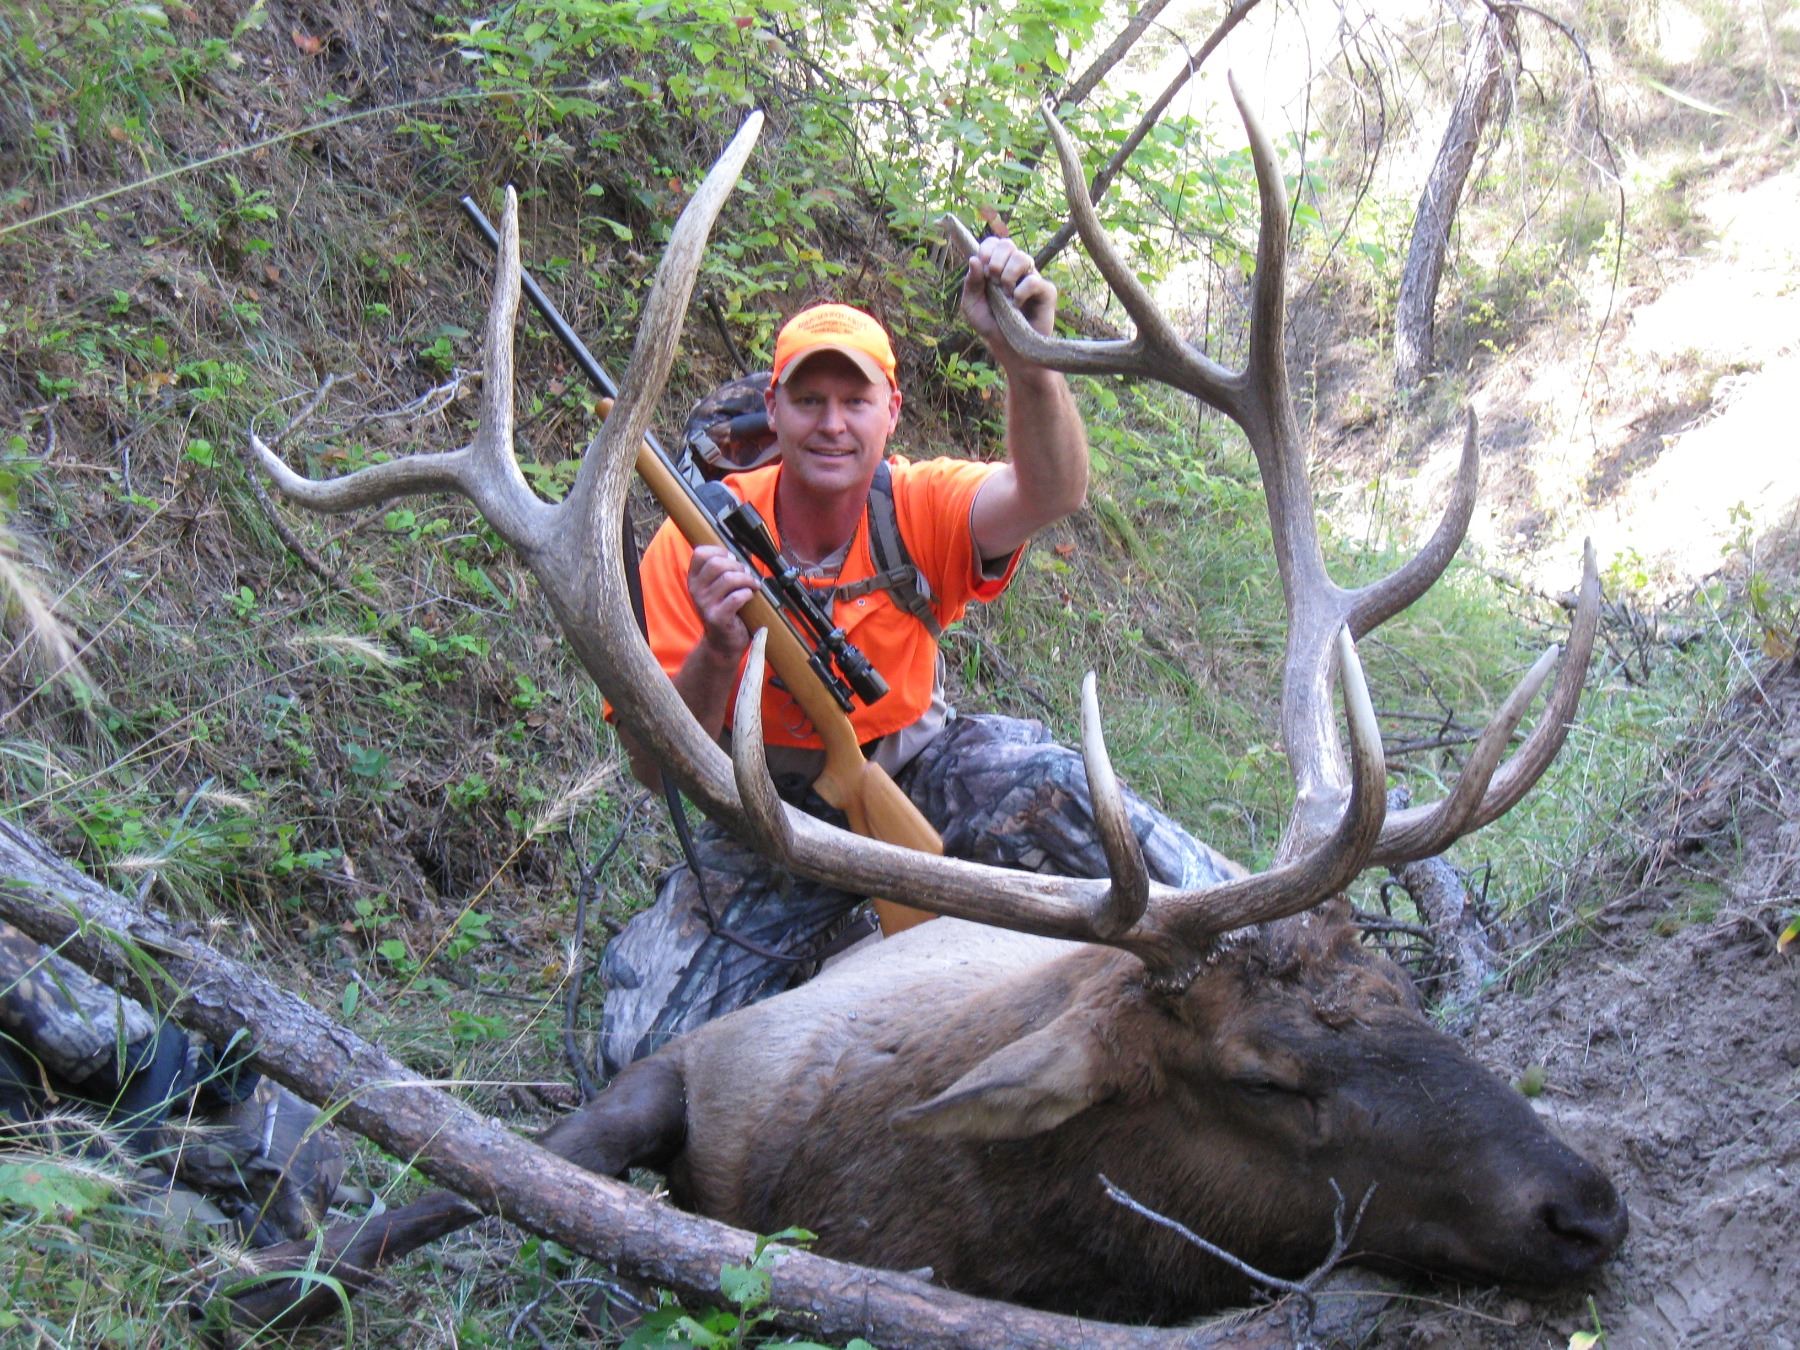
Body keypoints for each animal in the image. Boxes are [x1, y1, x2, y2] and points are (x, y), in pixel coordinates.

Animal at [238, 79, 1625, 1329]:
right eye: (1267, 1078)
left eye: (1405, 997)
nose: (1585, 1205)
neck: (925, 1200)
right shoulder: (685, 1066)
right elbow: (480, 1174)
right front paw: (269, 1277)